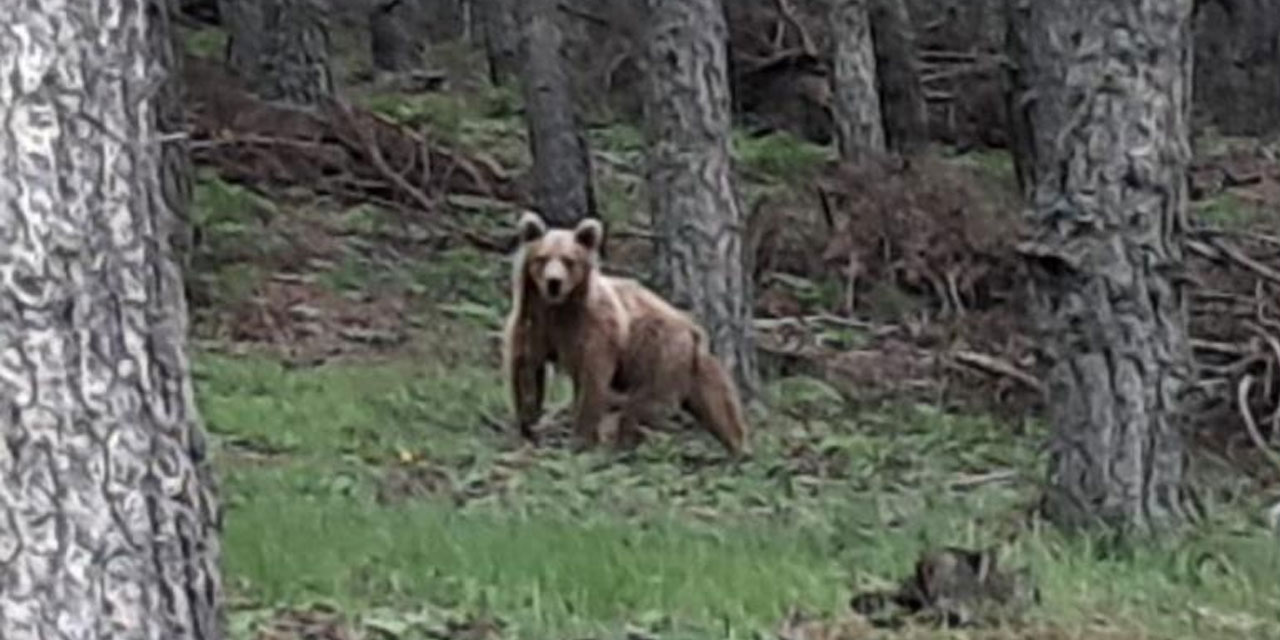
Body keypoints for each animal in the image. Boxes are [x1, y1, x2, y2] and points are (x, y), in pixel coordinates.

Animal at [501, 212, 747, 458]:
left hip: (660, 354)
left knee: (647, 405)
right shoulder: (533, 323)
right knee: (716, 405)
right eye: (542, 258)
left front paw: (580, 441)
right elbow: (526, 371)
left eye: (569, 260)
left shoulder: (593, 330)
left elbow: (591, 381)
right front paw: (528, 431)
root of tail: (692, 328)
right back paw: (737, 447)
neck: (558, 308)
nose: (554, 282)